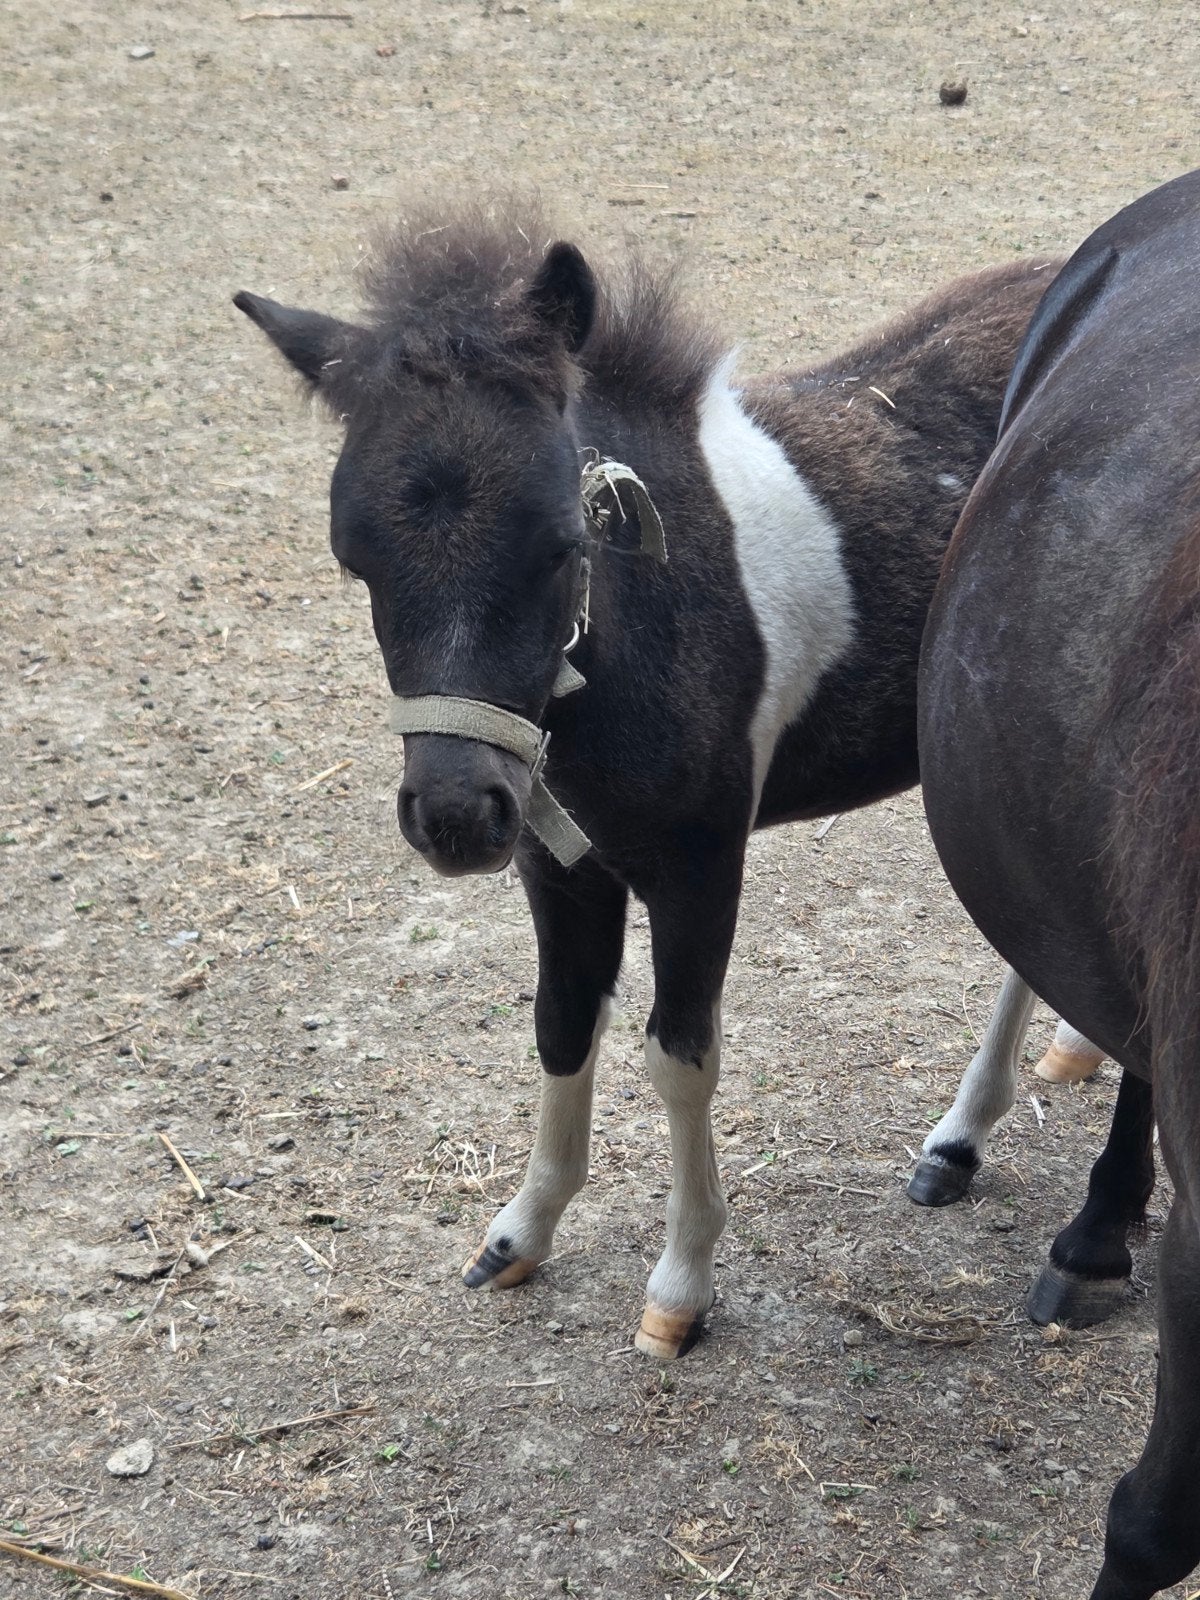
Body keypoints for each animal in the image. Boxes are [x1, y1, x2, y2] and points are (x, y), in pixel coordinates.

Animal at [235, 199, 1057, 1360]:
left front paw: (681, 1287)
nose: (454, 816)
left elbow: (680, 1054)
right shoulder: (557, 864)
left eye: (561, 542)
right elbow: (560, 1021)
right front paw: (518, 1234)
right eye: (355, 558)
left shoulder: (699, 863)